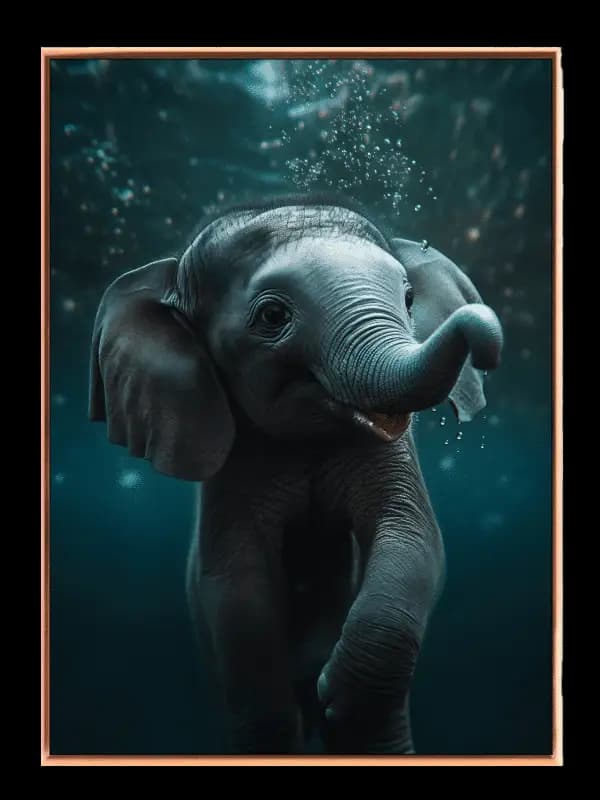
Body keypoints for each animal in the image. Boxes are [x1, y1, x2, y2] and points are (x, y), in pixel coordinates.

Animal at [89, 195, 503, 755]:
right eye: (272, 316)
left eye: (409, 297)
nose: (484, 334)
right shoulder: (235, 462)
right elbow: (237, 585)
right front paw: (318, 692)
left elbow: (414, 538)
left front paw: (337, 693)